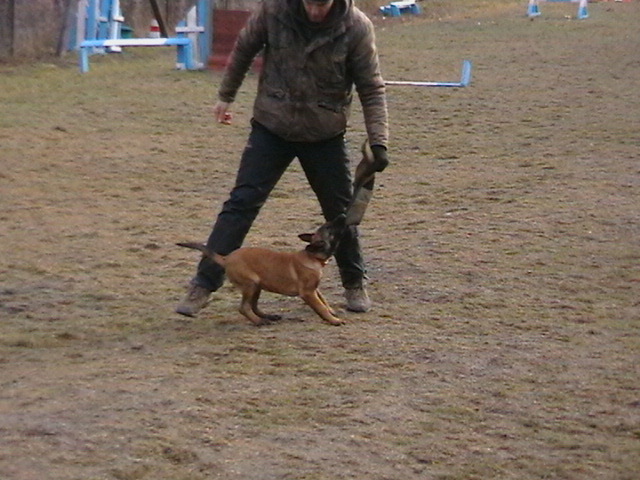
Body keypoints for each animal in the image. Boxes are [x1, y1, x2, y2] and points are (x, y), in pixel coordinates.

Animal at [178, 215, 348, 324]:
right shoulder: (307, 292)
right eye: (330, 227)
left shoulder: (314, 289)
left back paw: (267, 316)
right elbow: (320, 307)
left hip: (257, 286)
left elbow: (323, 300)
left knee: (253, 306)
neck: (312, 257)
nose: (342, 215)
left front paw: (331, 312)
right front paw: (334, 320)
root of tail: (226, 258)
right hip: (250, 284)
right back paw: (259, 321)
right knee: (244, 308)